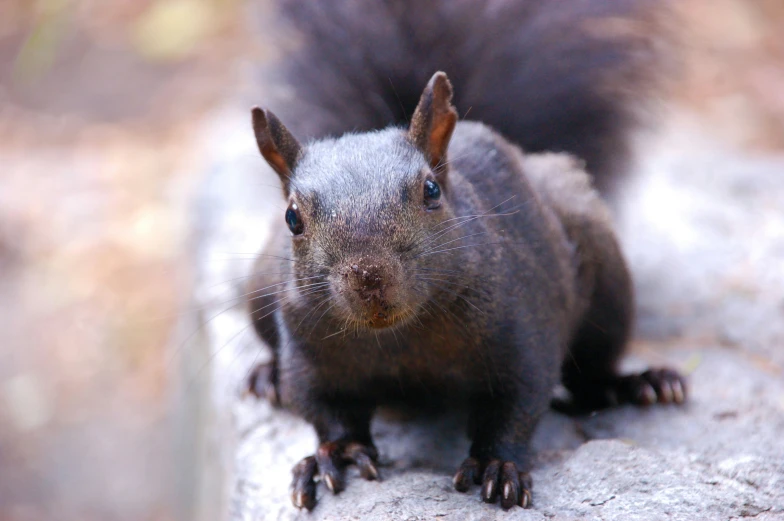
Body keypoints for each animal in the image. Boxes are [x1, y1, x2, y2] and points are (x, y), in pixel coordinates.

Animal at [242, 0, 684, 512]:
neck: (398, 338)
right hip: (258, 285)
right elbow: (321, 405)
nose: (369, 278)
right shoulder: (307, 345)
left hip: (603, 274)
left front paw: (498, 464)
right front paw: (338, 454)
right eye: (293, 217)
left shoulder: (521, 323)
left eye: (431, 191)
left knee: (592, 372)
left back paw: (638, 384)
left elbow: (518, 400)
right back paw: (266, 377)